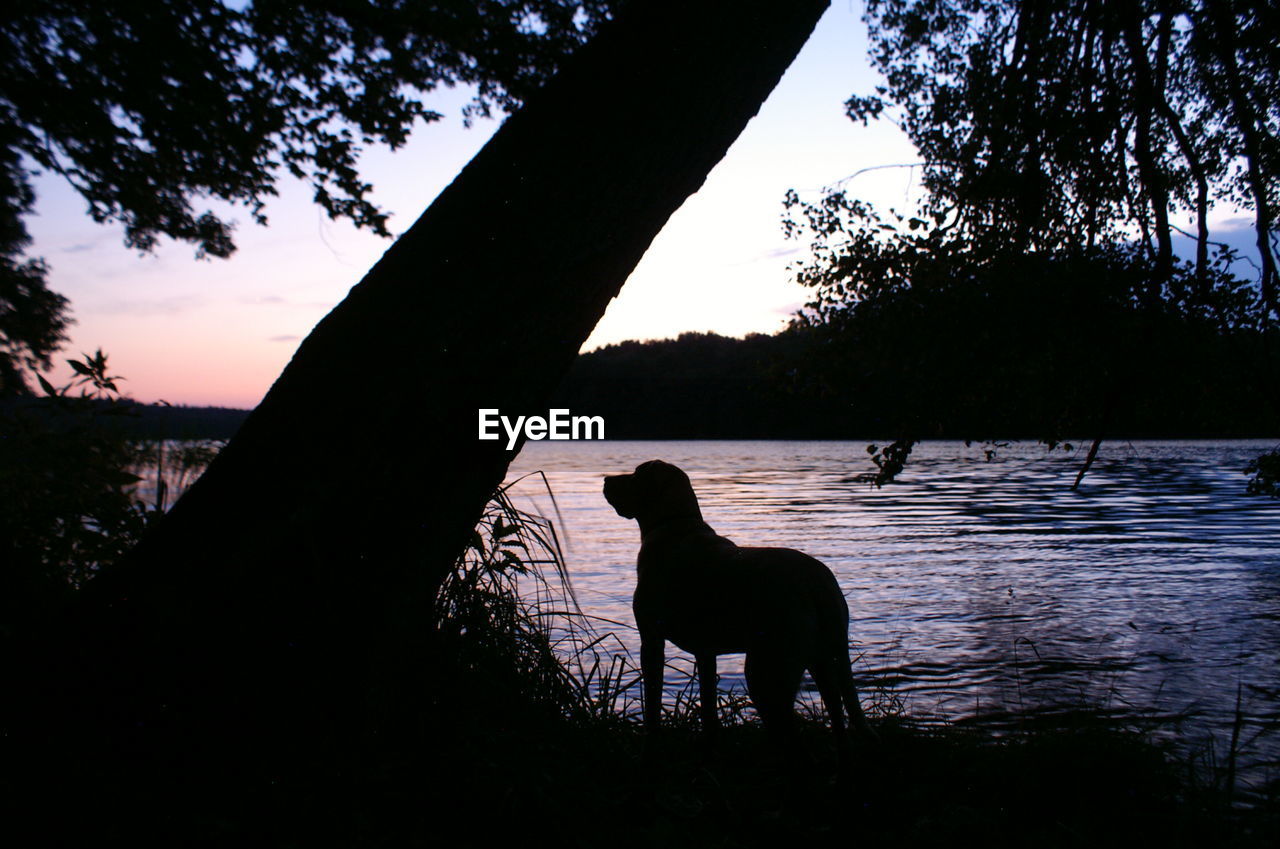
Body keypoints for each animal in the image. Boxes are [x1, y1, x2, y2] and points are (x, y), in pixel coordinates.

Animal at [604, 460, 875, 752]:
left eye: (636, 475)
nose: (606, 480)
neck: (675, 524)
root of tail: (819, 582)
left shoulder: (652, 640)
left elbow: (653, 704)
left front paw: (651, 741)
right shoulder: (705, 652)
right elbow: (708, 706)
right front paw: (710, 742)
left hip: (767, 671)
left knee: (790, 734)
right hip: (822, 660)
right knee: (837, 716)